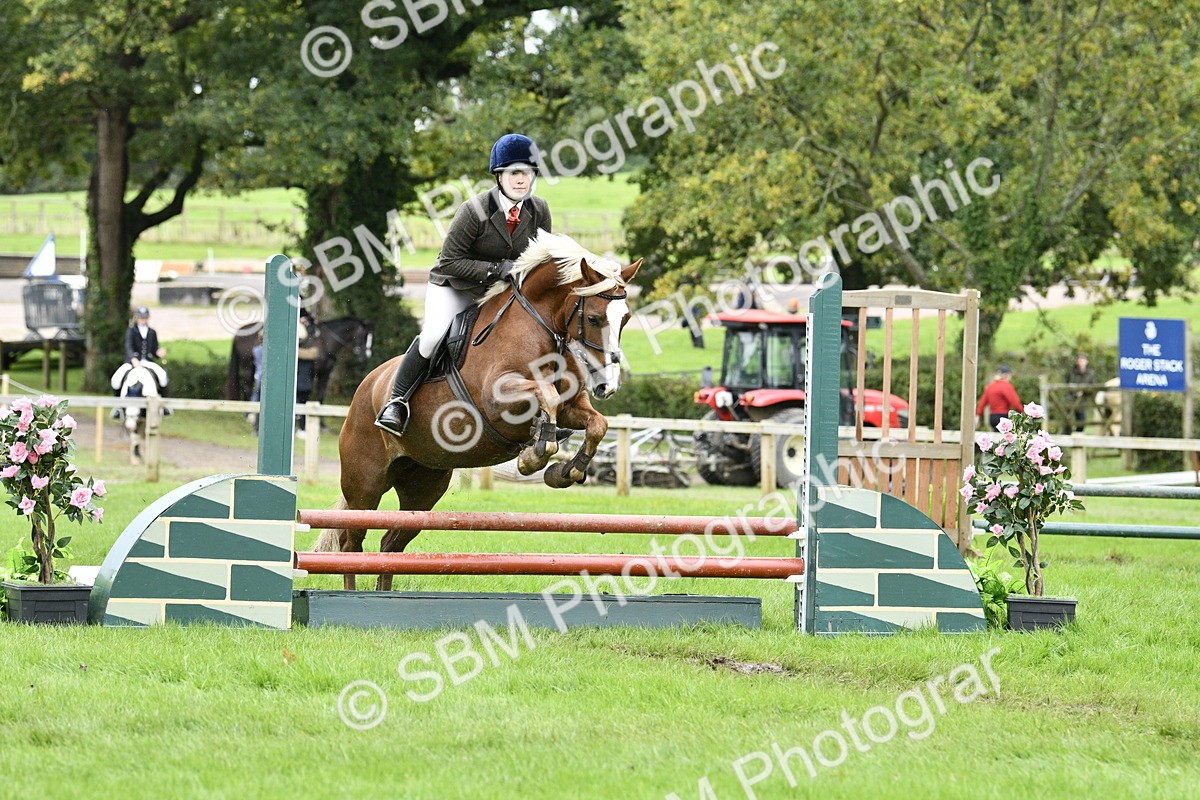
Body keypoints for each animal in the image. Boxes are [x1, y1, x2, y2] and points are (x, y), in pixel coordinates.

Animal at [225, 317, 373, 404]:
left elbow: (320, 396)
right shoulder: (312, 373)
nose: (366, 357)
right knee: (247, 386)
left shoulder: (325, 373)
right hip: (248, 366)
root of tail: (240, 331)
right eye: (364, 336)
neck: (325, 342)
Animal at [313, 231, 642, 590]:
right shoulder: (498, 398)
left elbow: (597, 423)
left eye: (625, 319)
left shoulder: (573, 406)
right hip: (366, 482)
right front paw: (534, 455)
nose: (607, 386)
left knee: (391, 544)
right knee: (351, 542)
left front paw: (565, 471)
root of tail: (366, 388)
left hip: (424, 485)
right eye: (594, 318)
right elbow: (547, 396)